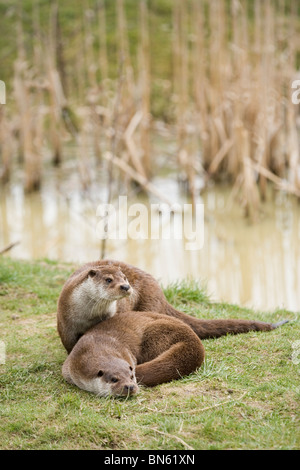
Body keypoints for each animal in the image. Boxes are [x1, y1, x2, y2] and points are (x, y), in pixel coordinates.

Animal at [56, 258, 288, 354]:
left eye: (124, 278)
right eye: (108, 280)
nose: (126, 286)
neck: (88, 317)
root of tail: (160, 293)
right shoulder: (65, 323)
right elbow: (69, 345)